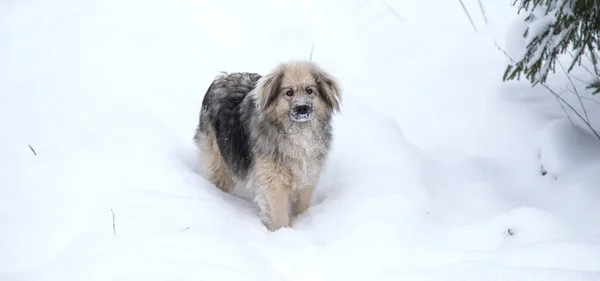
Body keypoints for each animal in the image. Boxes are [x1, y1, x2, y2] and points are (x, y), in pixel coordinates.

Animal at [193, 60, 340, 231]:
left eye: (309, 90)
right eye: (289, 92)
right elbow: (278, 215)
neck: (298, 132)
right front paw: (282, 233)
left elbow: (302, 205)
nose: (302, 108)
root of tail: (222, 77)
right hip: (220, 159)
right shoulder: (274, 182)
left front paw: (302, 221)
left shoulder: (308, 177)